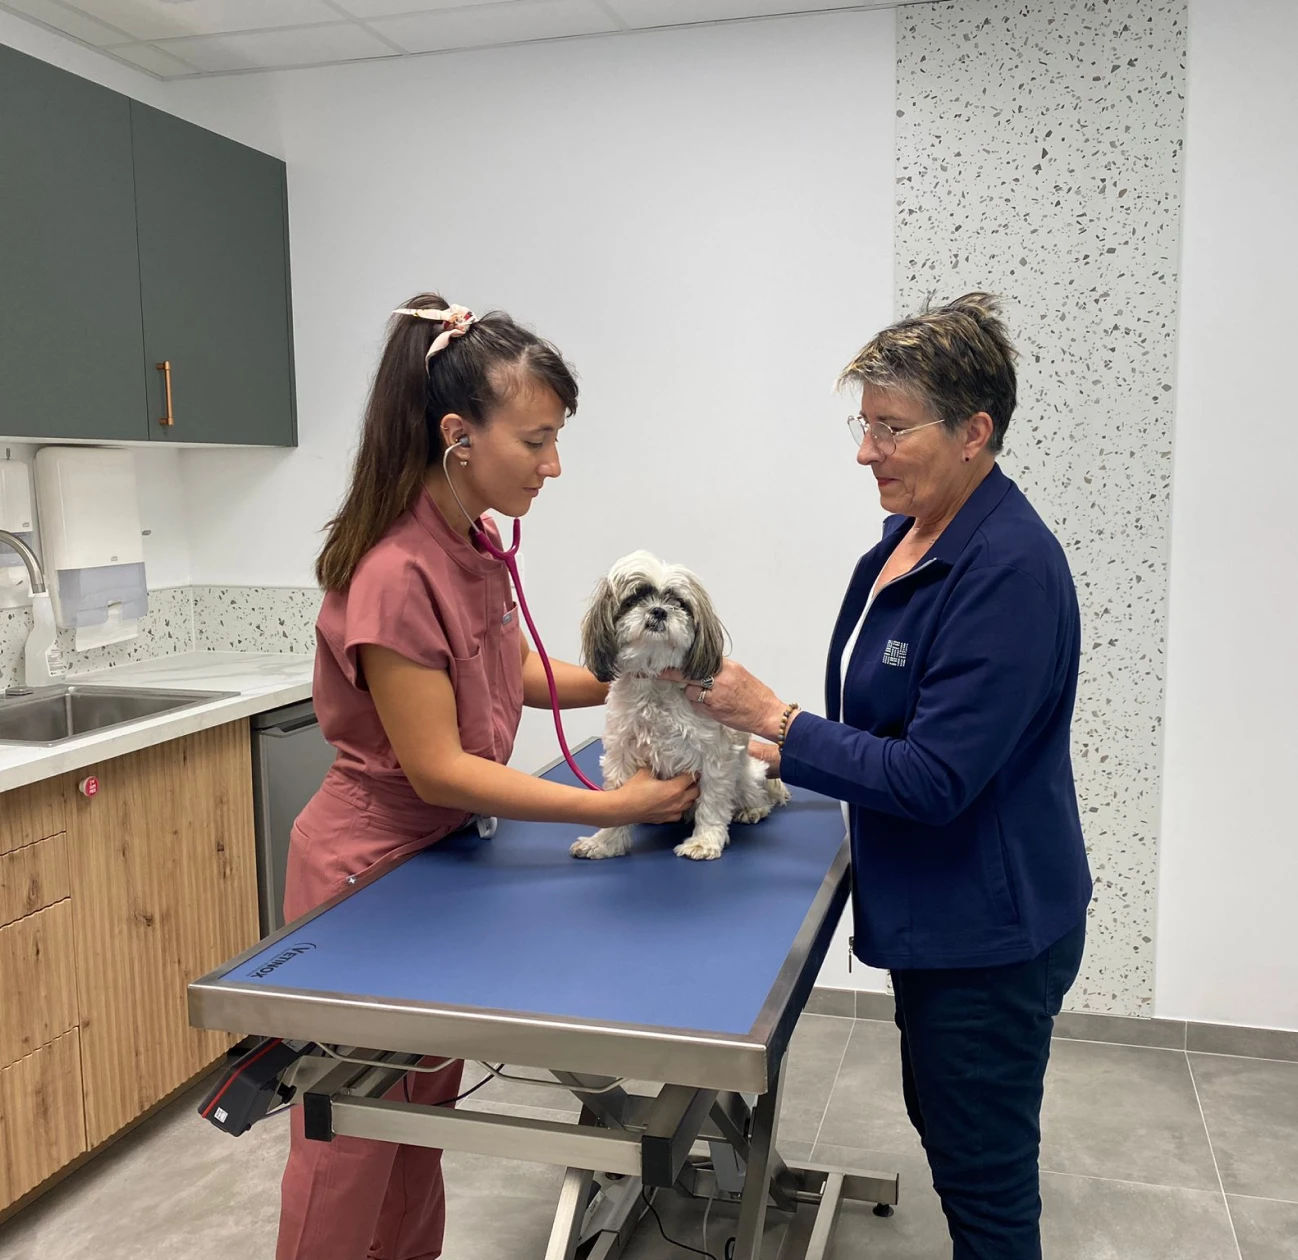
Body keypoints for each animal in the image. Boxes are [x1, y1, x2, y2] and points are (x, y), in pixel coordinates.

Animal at [576, 547, 789, 861]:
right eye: (635, 598)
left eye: (678, 602)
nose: (658, 611)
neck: (656, 680)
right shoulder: (621, 752)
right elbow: (617, 801)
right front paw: (605, 842)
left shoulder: (715, 756)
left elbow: (713, 803)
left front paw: (704, 842)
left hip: (747, 774)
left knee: (755, 794)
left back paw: (752, 809)